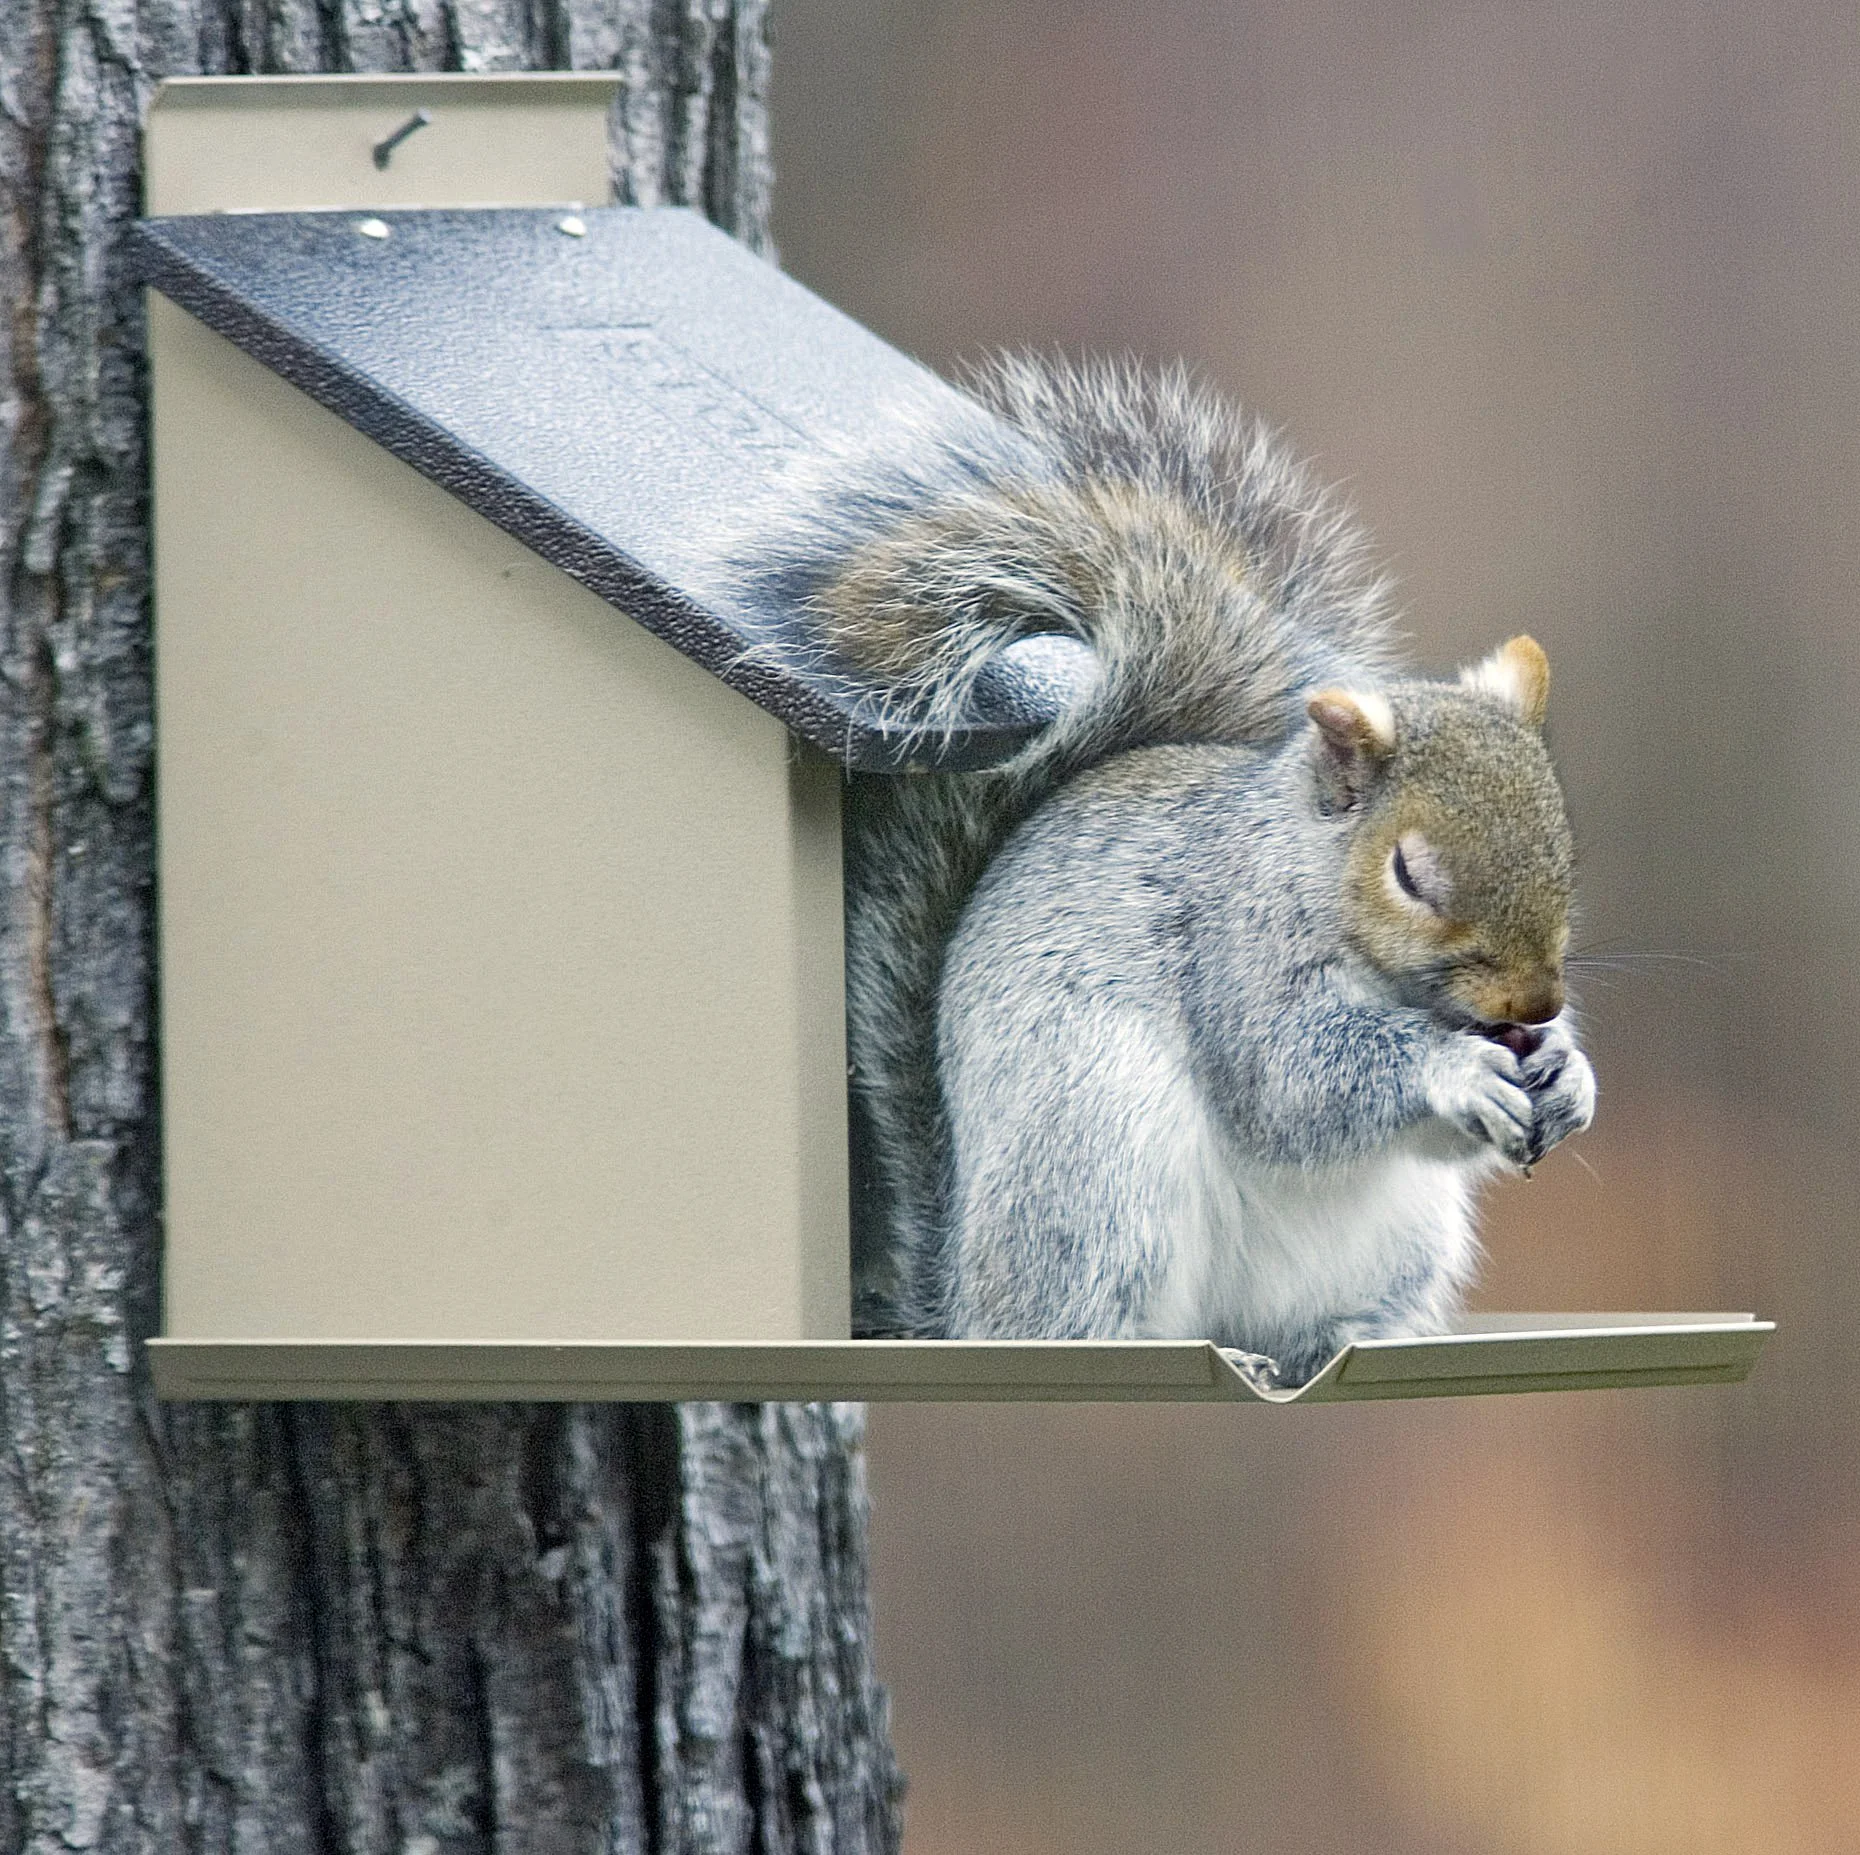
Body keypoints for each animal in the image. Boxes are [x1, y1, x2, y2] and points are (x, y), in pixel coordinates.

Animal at [741, 356, 1597, 1387]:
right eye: (1409, 874)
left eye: (1564, 846)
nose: (1537, 1006)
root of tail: (964, 1305)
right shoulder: (1234, 951)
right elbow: (1291, 1081)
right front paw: (1455, 1067)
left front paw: (1571, 1072)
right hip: (1100, 1166)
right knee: (1082, 1323)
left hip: (1398, 1237)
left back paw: (1339, 1342)